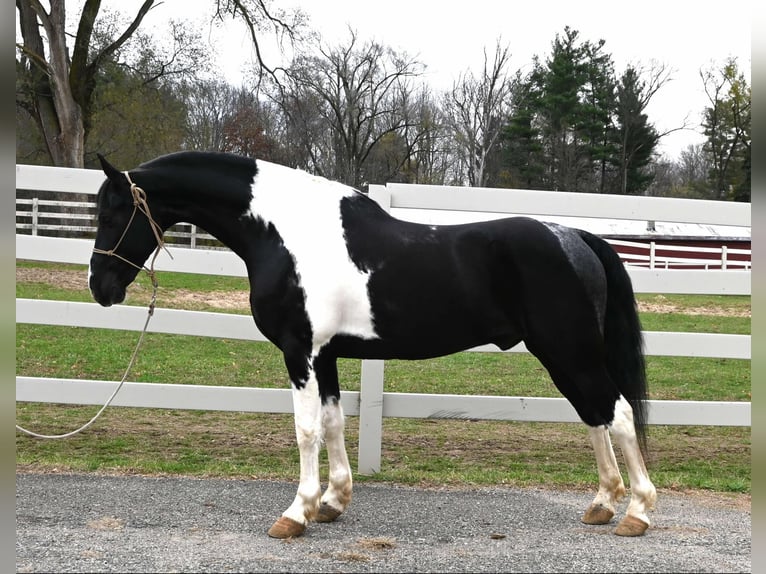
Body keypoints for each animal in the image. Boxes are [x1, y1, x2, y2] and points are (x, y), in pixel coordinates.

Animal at [88, 150, 657, 538]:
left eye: (112, 215)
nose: (100, 287)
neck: (287, 234)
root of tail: (574, 237)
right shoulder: (327, 355)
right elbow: (334, 422)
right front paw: (332, 502)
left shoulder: (299, 352)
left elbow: (306, 430)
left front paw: (295, 513)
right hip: (566, 355)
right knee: (594, 416)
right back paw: (603, 504)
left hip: (570, 351)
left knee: (618, 414)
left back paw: (636, 511)